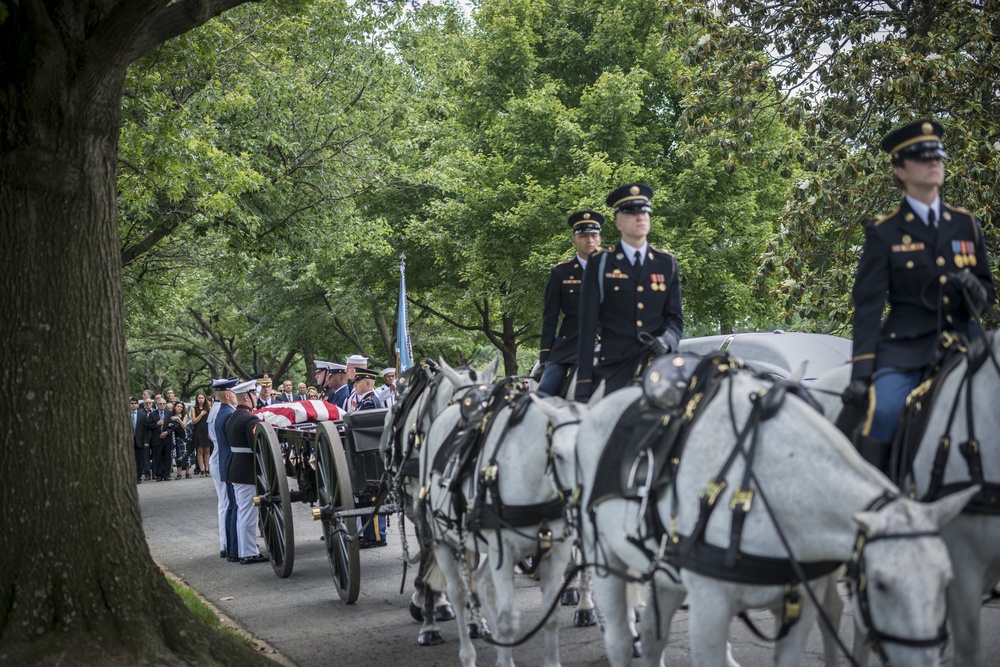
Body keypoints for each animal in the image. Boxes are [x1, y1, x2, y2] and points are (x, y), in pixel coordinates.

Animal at [420, 378, 584, 664]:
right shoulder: (503, 551)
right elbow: (509, 620)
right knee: (458, 593)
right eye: (560, 454)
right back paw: (467, 654)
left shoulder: (555, 551)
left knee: (482, 583)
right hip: (443, 544)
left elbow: (550, 616)